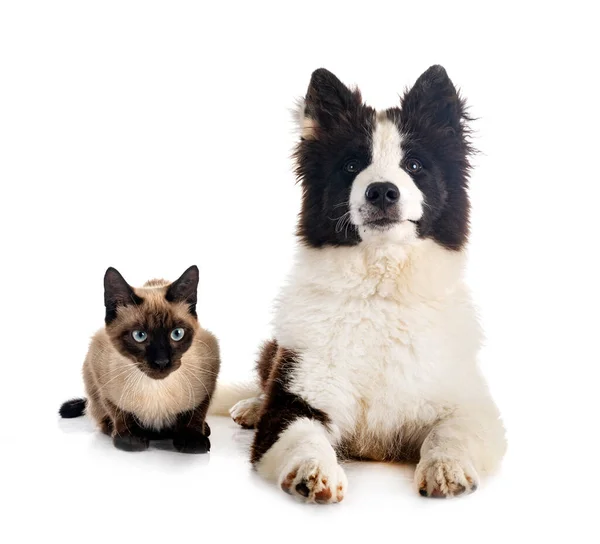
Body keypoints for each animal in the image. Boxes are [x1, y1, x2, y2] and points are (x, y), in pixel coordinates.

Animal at [56, 266, 218, 452]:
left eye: (177, 334)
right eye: (139, 336)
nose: (162, 362)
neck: (156, 387)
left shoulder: (210, 367)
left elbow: (196, 413)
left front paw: (192, 441)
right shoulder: (100, 372)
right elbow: (118, 411)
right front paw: (131, 439)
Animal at [218, 66, 504, 504]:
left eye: (414, 165)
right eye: (352, 165)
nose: (382, 191)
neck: (380, 290)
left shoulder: (471, 403)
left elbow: (451, 432)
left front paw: (446, 468)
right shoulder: (298, 393)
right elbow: (300, 435)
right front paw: (313, 471)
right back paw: (251, 406)